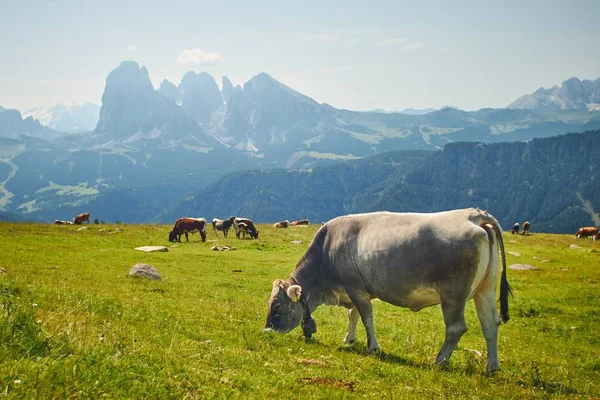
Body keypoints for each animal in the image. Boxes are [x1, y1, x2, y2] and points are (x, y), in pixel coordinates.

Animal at [264, 208, 510, 374]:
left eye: (277, 305)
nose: (267, 331)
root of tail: (472, 214)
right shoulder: (355, 290)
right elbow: (353, 315)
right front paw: (349, 338)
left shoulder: (354, 287)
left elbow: (366, 316)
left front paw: (372, 347)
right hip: (485, 290)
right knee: (490, 323)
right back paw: (492, 366)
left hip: (453, 294)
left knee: (456, 328)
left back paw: (439, 360)